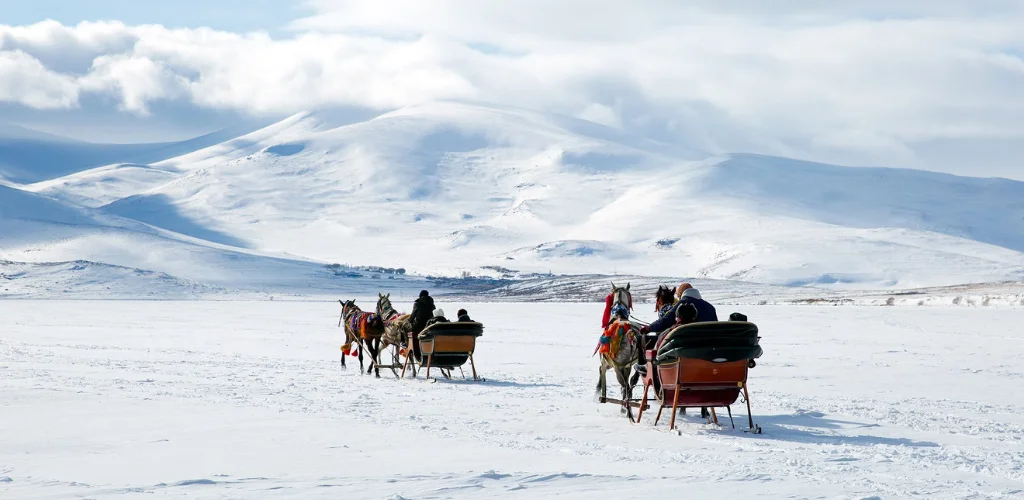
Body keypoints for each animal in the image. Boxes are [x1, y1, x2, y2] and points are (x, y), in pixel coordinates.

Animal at [593, 280, 638, 422]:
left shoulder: (607, 363)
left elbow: (600, 372)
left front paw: (597, 394)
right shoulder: (627, 366)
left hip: (617, 365)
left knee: (624, 385)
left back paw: (625, 409)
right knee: (629, 385)